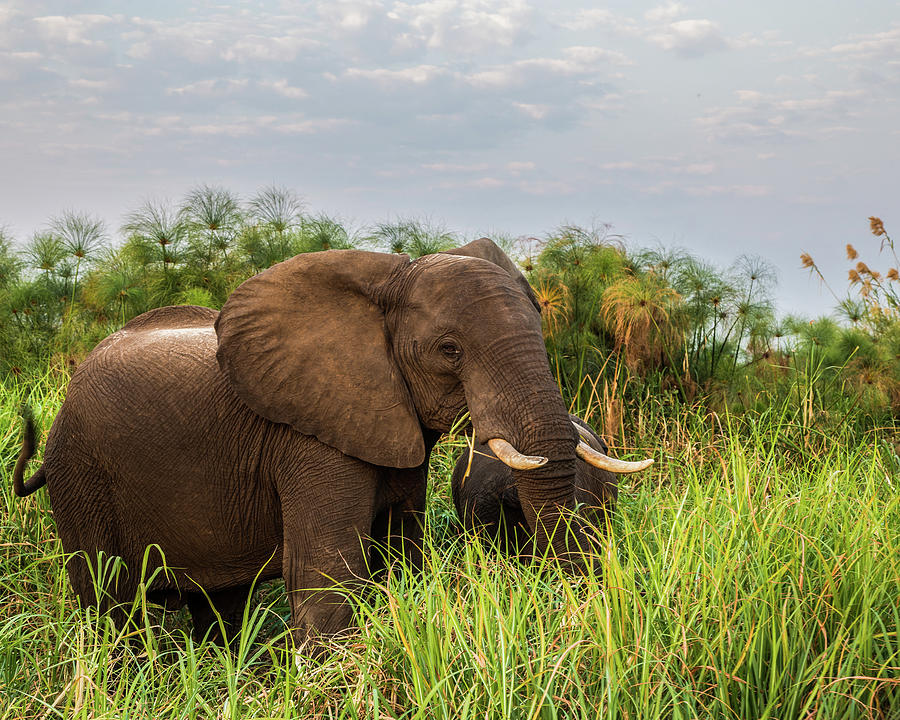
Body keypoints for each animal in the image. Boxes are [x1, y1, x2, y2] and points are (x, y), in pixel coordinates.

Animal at [8, 239, 604, 648]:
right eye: (449, 349)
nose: (571, 602)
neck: (390, 277)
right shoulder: (308, 438)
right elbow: (326, 572)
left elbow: (400, 554)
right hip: (81, 473)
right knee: (110, 606)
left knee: (217, 604)